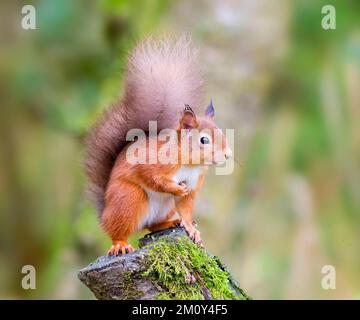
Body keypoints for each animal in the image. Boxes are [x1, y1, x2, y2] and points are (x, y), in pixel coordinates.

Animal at [85, 36, 231, 256]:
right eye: (204, 140)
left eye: (222, 133)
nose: (228, 155)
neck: (190, 163)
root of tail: (105, 214)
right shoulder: (152, 162)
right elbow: (152, 177)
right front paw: (175, 188)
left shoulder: (194, 185)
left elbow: (186, 207)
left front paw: (191, 228)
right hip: (128, 199)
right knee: (119, 230)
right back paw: (120, 243)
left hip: (164, 207)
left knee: (152, 225)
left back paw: (171, 222)